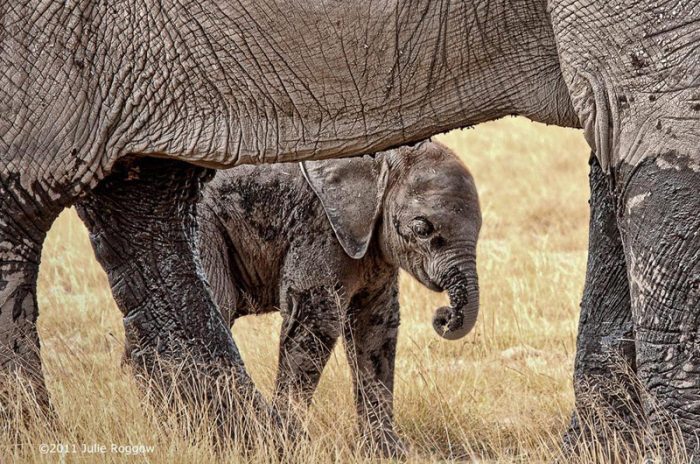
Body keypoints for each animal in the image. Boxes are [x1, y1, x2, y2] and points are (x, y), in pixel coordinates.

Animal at [197, 141, 482, 456]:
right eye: (422, 230)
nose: (444, 315)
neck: (382, 159)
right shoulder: (318, 227)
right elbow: (315, 321)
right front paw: (288, 445)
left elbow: (374, 328)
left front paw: (388, 452)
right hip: (205, 229)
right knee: (220, 303)